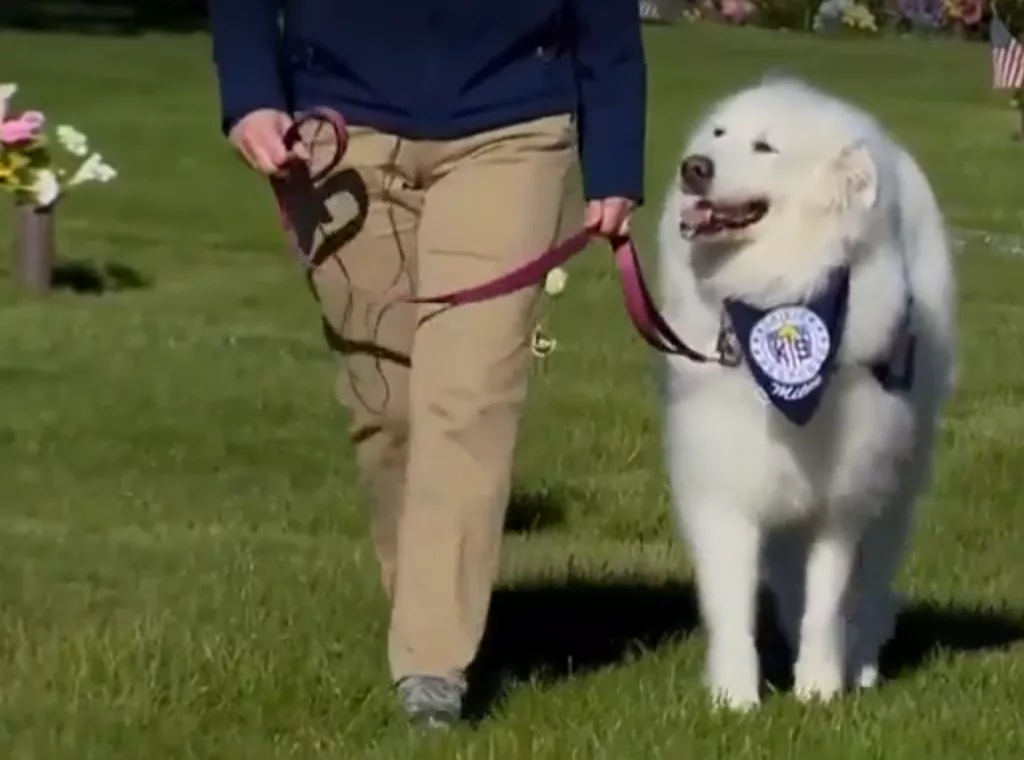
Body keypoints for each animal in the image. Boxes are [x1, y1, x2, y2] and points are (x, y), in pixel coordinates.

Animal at [659, 74, 954, 712]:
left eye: (765, 147)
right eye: (718, 135)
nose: (693, 167)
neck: (777, 295)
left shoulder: (841, 503)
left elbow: (829, 601)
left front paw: (819, 691)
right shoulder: (725, 486)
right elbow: (732, 605)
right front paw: (736, 699)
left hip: (897, 484)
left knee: (873, 586)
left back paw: (860, 666)